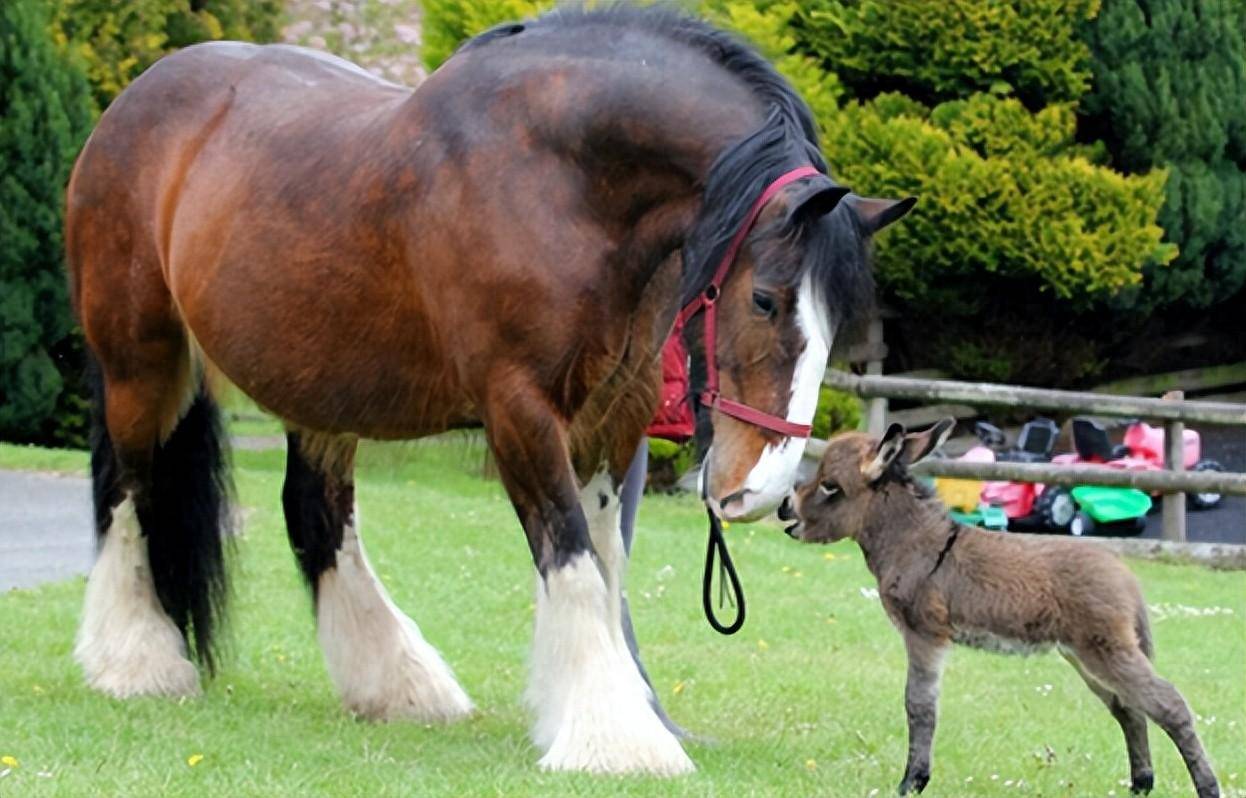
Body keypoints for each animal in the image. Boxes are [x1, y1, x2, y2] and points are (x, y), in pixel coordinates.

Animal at [63, 4, 912, 773]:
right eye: (764, 299)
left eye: (838, 325)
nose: (756, 491)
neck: (560, 180)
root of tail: (137, 100)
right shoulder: (519, 412)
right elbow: (571, 558)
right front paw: (618, 739)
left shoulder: (614, 419)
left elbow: (605, 566)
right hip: (140, 362)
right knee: (128, 492)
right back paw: (136, 662)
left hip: (316, 383)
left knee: (316, 512)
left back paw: (399, 684)